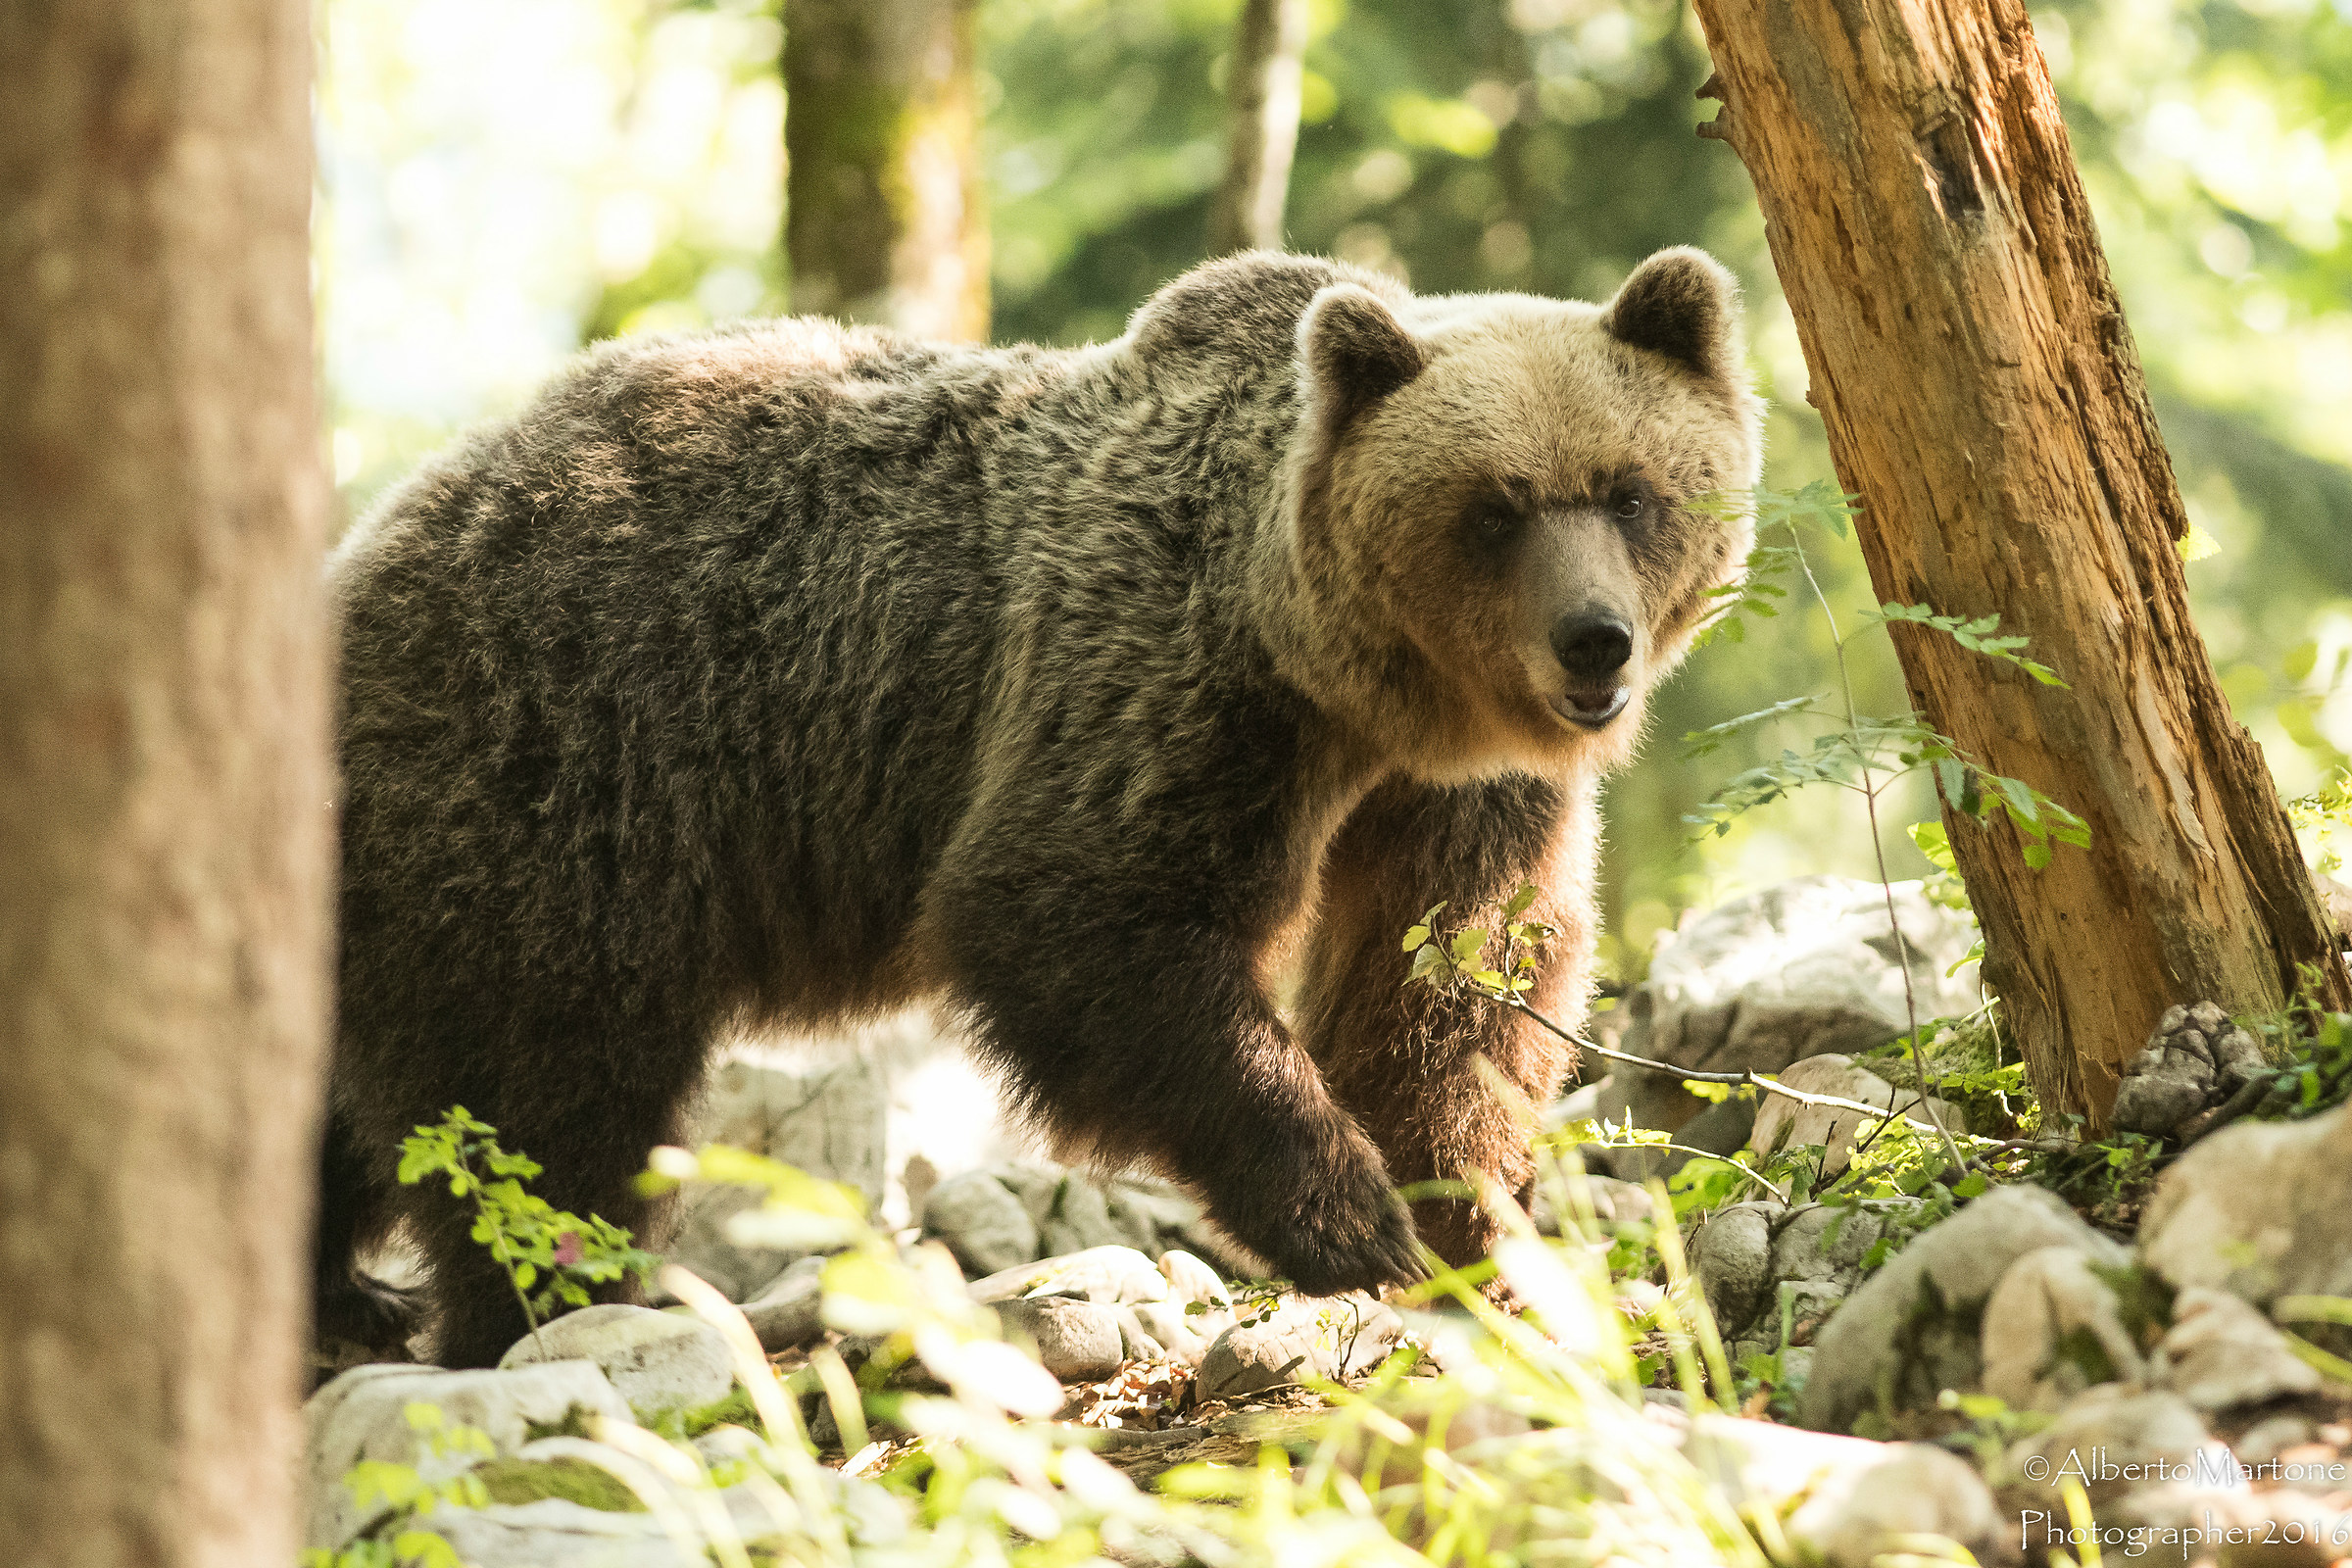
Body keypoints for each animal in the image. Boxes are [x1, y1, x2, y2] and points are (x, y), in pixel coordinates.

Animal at [319, 247, 1762, 1368]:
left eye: (1632, 490)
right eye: (1495, 508)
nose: (1593, 642)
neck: (1355, 693)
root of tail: (364, 552)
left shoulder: (1459, 790)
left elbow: (1456, 977)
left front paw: (1473, 1217)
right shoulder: (1165, 680)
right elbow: (1080, 912)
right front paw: (1347, 1216)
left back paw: (349, 1299)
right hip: (554, 775)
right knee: (538, 1095)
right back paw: (542, 1310)